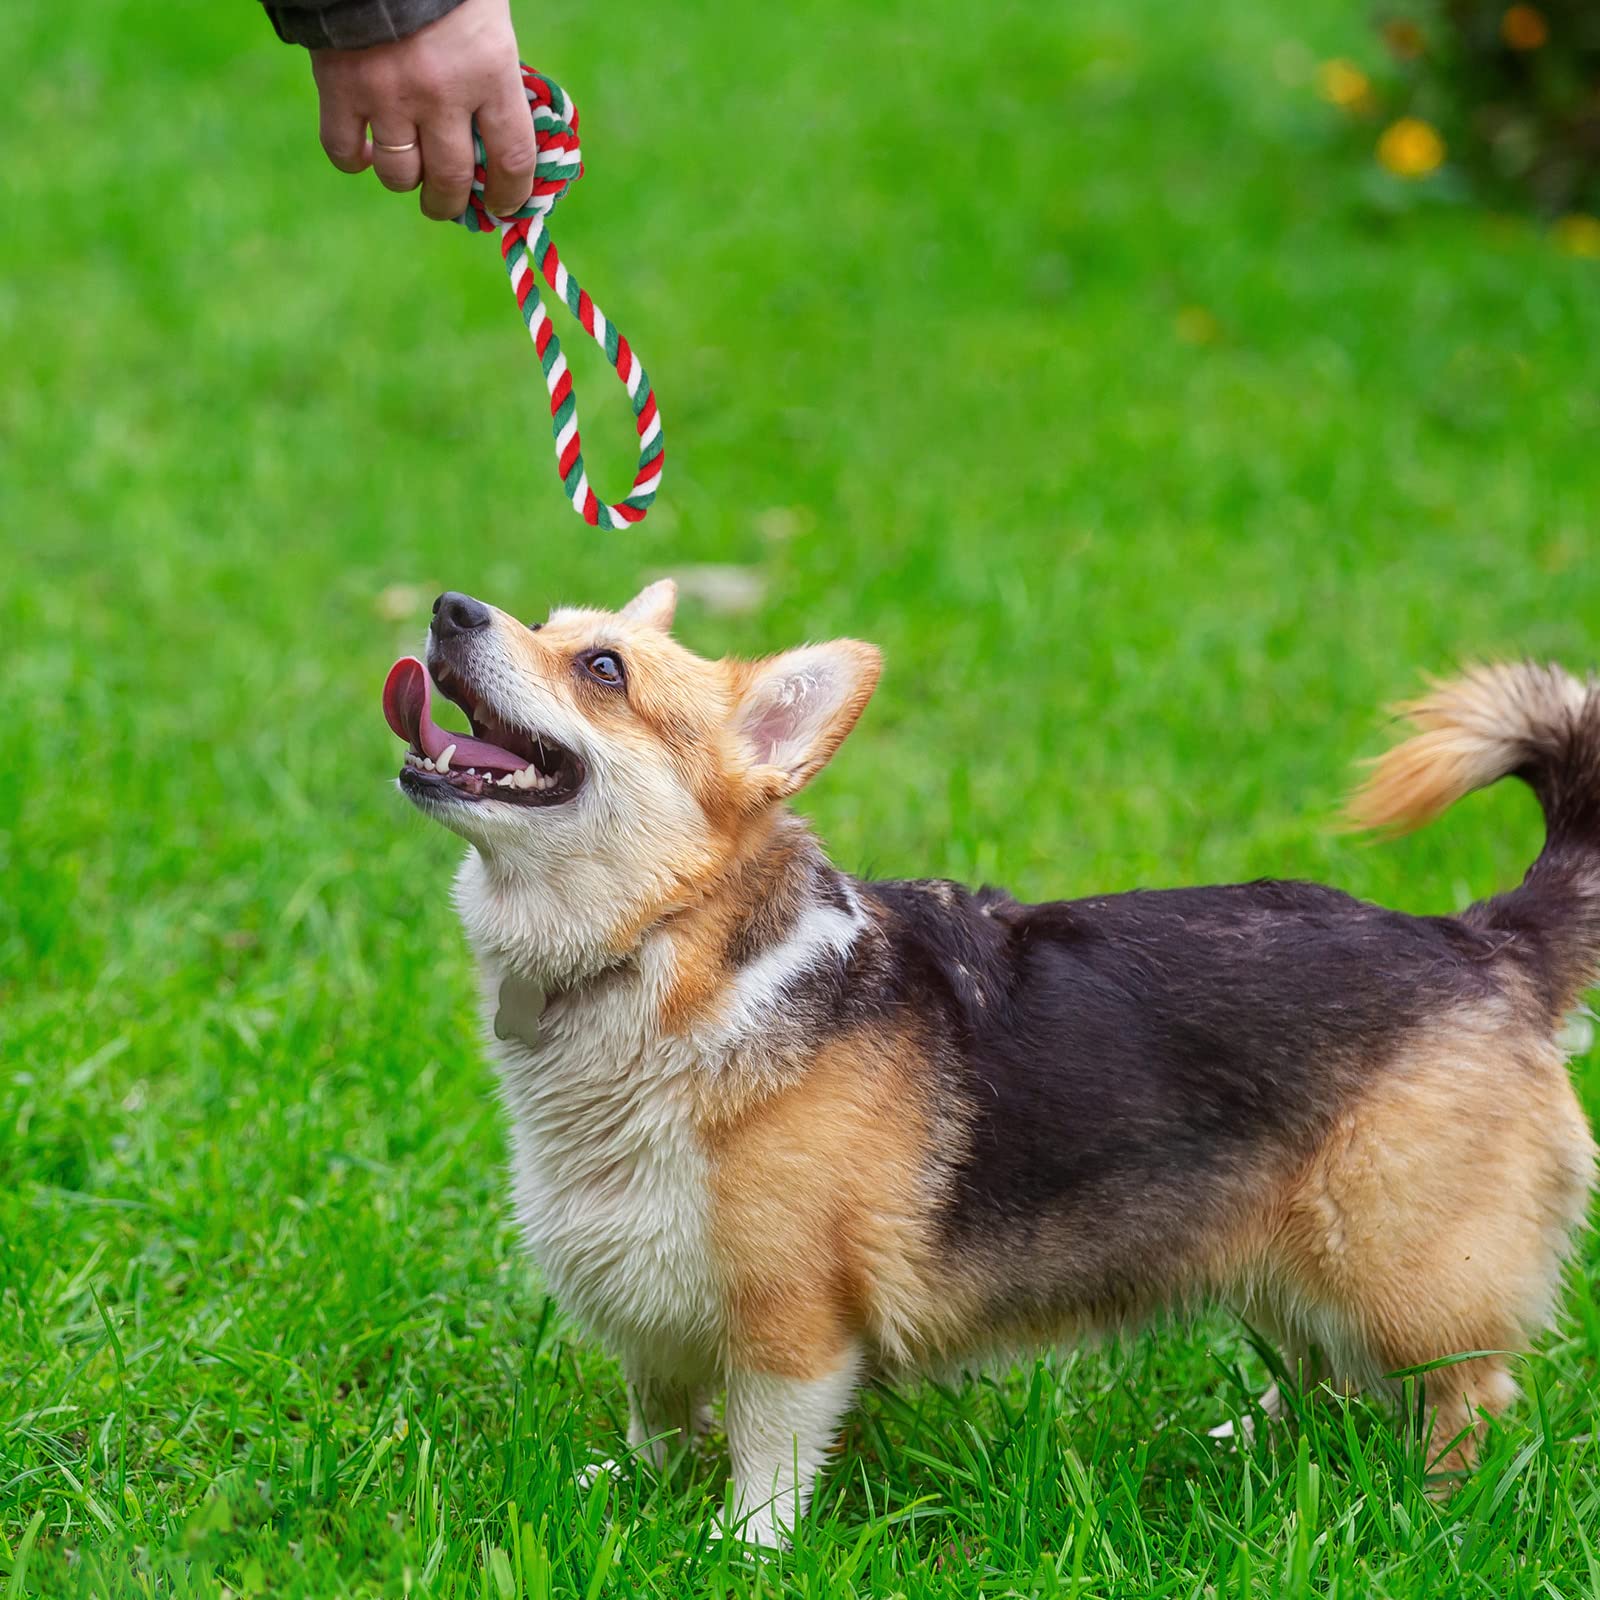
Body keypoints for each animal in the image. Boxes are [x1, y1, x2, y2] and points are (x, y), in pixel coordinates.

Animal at [380, 582, 1593, 1542]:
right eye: (544, 625)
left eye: (602, 668)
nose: (449, 607)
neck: (665, 953)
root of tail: (1484, 941)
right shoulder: (649, 1300)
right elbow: (659, 1419)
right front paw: (627, 1491)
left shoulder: (792, 1320)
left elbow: (769, 1452)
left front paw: (739, 1548)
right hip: (1289, 1254)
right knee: (1325, 1374)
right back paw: (1249, 1444)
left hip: (1405, 1277)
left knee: (1466, 1402)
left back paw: (1432, 1518)